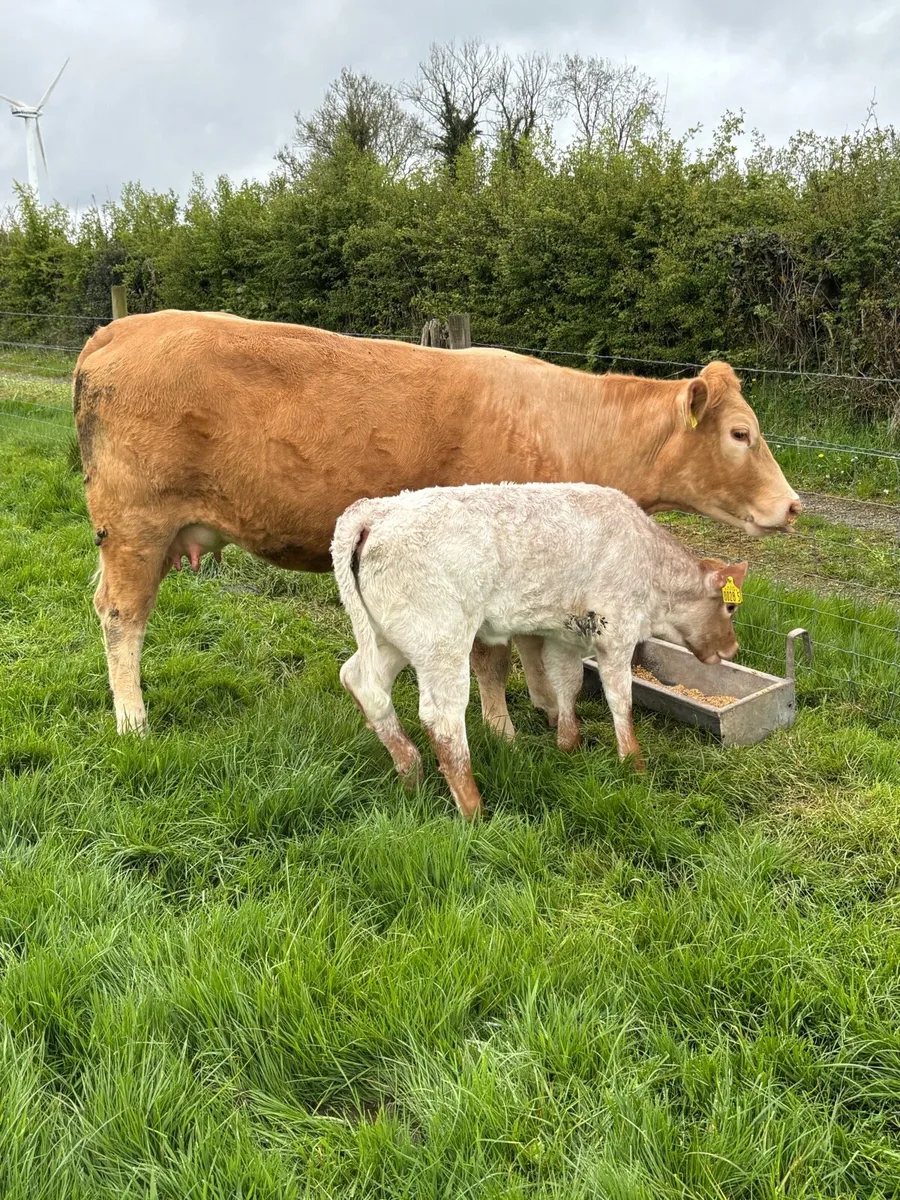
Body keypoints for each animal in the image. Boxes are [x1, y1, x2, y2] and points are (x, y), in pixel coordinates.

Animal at [72, 310, 797, 735]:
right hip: (135, 523)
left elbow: (532, 648)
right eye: (741, 433)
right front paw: (505, 728)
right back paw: (133, 719)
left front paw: (546, 707)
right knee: (121, 615)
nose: (793, 505)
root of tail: (123, 328)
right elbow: (495, 656)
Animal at [332, 482, 748, 818]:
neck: (650, 563)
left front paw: (569, 744)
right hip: (441, 641)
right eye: (730, 607)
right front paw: (633, 762)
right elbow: (620, 697)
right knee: (442, 718)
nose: (733, 647)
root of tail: (373, 512)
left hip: (391, 636)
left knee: (362, 681)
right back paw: (474, 809)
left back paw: (411, 770)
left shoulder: (565, 633)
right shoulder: (617, 630)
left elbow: (568, 683)